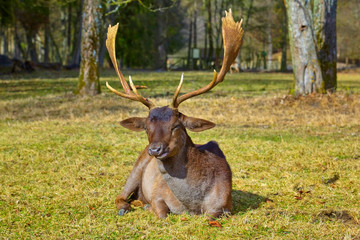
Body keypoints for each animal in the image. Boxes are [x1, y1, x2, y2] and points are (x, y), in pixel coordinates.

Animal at [105, 9, 243, 219]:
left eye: (176, 126)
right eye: (146, 127)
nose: (155, 149)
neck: (193, 204)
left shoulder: (226, 205)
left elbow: (212, 214)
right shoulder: (157, 194)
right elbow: (162, 213)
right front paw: (151, 208)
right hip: (137, 166)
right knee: (120, 195)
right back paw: (127, 206)